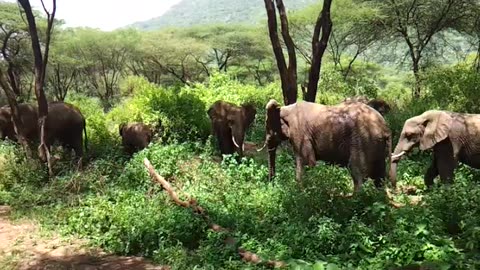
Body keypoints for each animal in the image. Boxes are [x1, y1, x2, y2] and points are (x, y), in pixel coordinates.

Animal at [262, 99, 394, 192]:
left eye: (268, 127)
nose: (271, 185)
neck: (285, 108)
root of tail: (385, 128)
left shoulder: (300, 133)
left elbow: (306, 162)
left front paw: (301, 194)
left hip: (364, 140)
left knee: (358, 174)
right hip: (376, 145)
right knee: (379, 177)